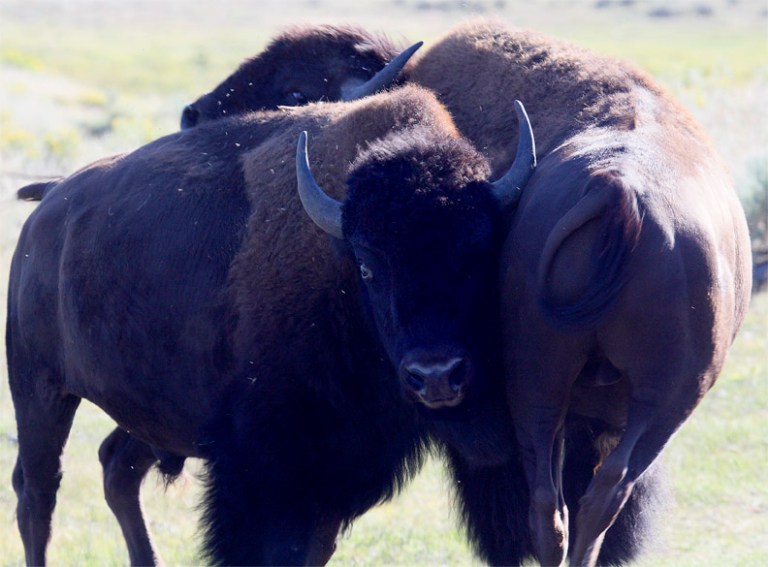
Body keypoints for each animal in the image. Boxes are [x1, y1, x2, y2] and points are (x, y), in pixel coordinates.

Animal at [6, 84, 535, 565]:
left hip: (148, 411)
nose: (436, 376)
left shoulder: (335, 472)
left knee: (116, 469)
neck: (335, 270)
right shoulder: (264, 469)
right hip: (40, 390)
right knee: (37, 494)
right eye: (368, 267)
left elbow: (315, 547)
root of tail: (49, 201)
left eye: (478, 253)